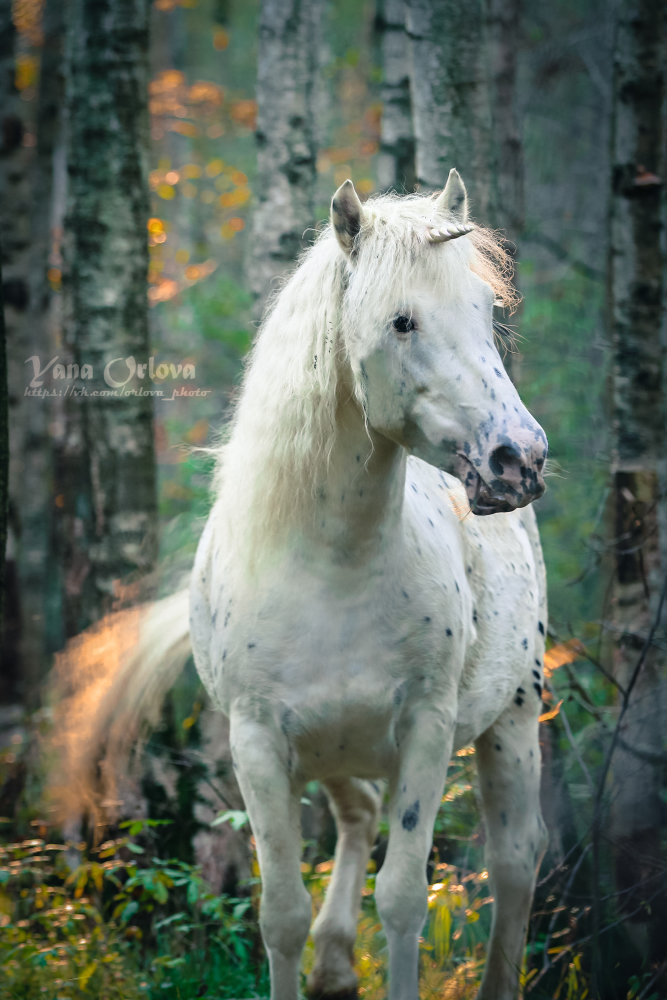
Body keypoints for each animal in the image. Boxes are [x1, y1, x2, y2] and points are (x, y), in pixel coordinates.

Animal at [57, 168, 548, 996]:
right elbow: (281, 913)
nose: (516, 458)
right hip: (332, 754)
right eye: (401, 322)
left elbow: (403, 900)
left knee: (513, 869)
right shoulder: (259, 745)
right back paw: (334, 964)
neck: (334, 568)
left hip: (510, 720)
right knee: (357, 817)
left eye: (485, 309)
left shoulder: (426, 730)